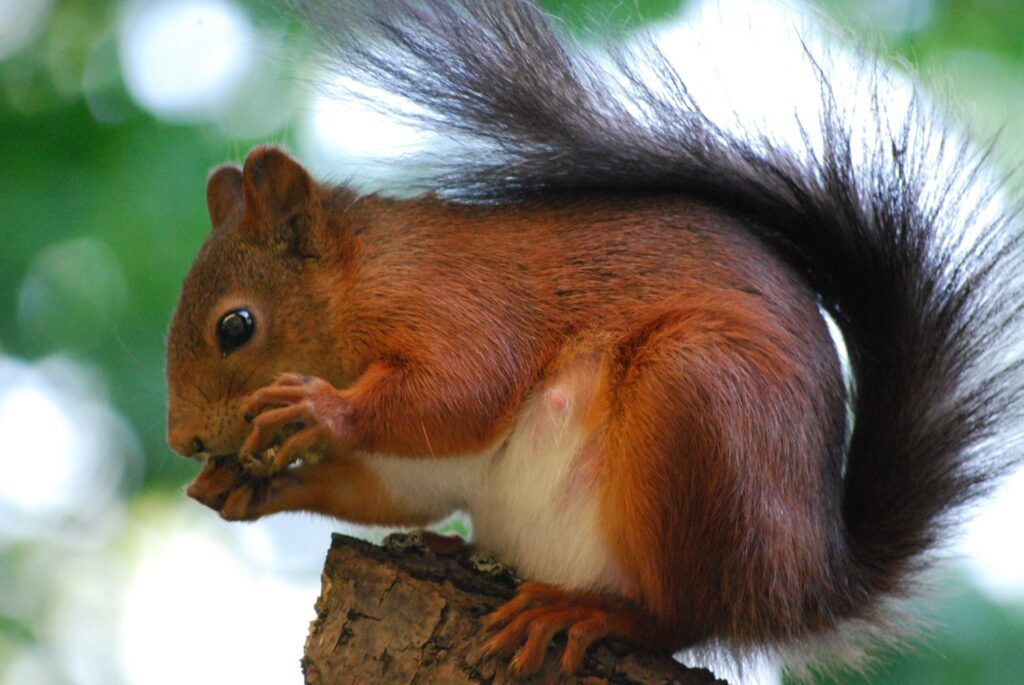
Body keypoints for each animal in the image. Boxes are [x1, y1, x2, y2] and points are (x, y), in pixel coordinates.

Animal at [167, 0, 1024, 675]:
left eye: (236, 326)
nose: (182, 440)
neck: (363, 279)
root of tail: (806, 584)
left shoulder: (462, 305)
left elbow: (465, 391)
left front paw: (319, 410)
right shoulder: (414, 467)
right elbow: (392, 491)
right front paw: (247, 487)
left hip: (697, 409)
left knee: (686, 616)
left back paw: (593, 613)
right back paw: (456, 554)